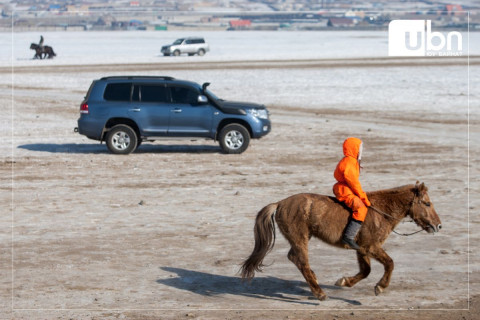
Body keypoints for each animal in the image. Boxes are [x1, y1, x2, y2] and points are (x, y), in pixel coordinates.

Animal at [240, 181, 442, 302]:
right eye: (427, 204)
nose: (438, 225)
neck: (381, 211)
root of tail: (280, 203)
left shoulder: (362, 249)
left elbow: (365, 271)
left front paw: (344, 281)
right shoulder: (371, 247)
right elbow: (390, 264)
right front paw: (380, 287)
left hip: (301, 238)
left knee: (294, 258)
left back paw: (315, 282)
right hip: (300, 239)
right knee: (301, 262)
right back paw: (319, 292)